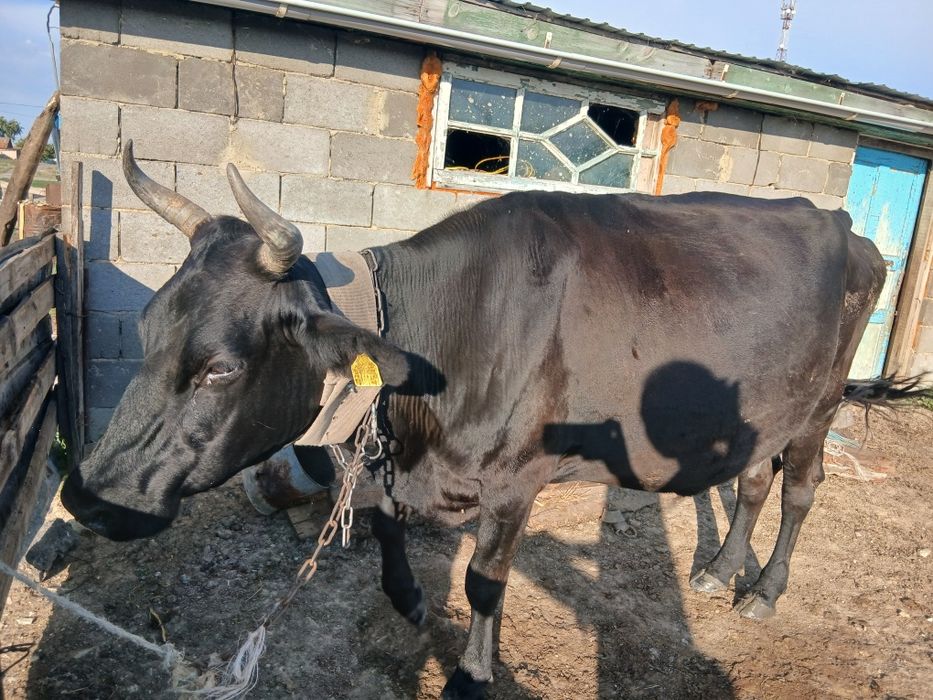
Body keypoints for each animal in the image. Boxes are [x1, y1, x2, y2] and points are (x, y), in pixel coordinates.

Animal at [62, 141, 929, 699]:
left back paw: (763, 590)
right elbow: (385, 524)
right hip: (760, 407)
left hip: (819, 402)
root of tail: (840, 224)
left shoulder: (518, 479)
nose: (84, 497)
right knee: (749, 482)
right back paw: (718, 571)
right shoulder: (394, 461)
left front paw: (474, 675)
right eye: (145, 329)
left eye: (220, 367)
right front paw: (411, 601)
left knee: (800, 490)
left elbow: (484, 580)